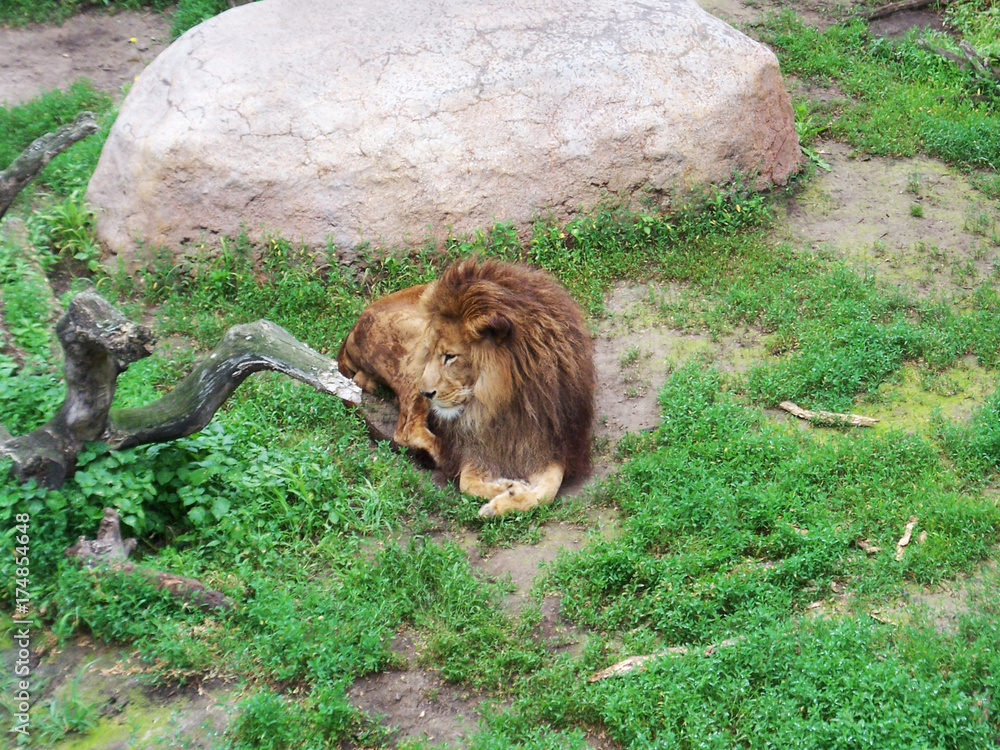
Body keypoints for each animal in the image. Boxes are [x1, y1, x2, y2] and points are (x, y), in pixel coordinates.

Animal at [338, 258, 595, 517]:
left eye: (450, 356)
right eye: (430, 353)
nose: (426, 392)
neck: (501, 399)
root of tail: (352, 330)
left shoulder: (550, 443)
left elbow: (548, 490)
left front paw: (509, 499)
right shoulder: (475, 445)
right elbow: (468, 483)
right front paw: (507, 488)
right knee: (407, 430)